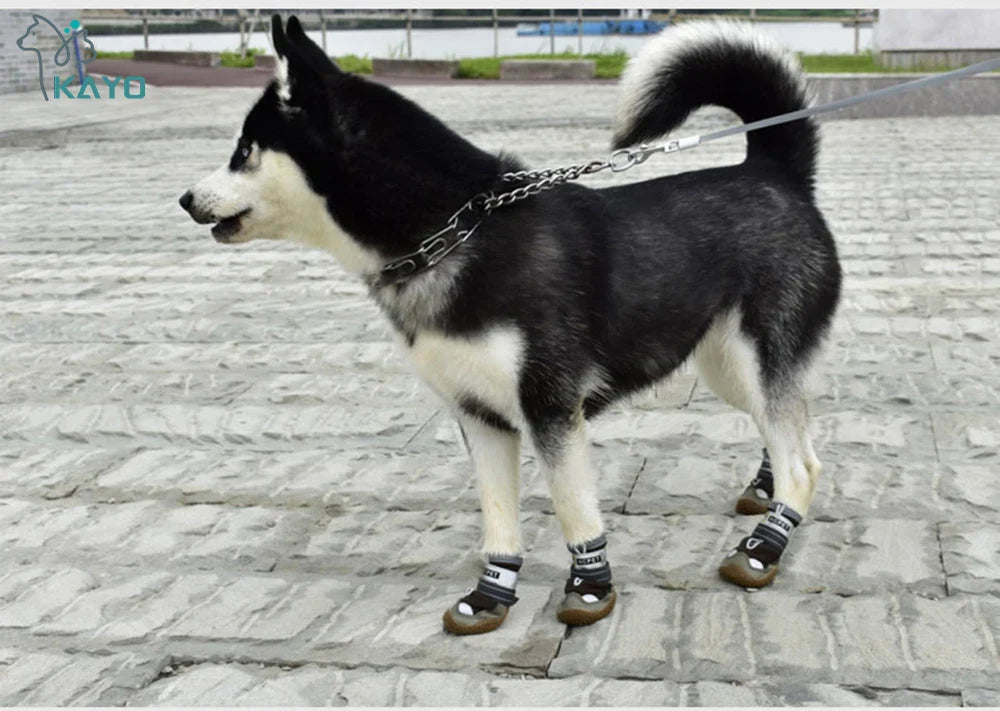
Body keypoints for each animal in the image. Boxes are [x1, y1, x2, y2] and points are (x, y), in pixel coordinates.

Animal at [182, 16, 844, 636]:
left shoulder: (550, 407)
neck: (451, 233)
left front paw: (589, 589)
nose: (185, 199)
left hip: (751, 356)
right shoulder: (480, 415)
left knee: (804, 461)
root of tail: (772, 171)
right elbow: (498, 516)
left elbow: (574, 509)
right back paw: (765, 492)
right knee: (785, 429)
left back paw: (765, 546)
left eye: (244, 150)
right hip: (726, 366)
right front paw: (490, 595)